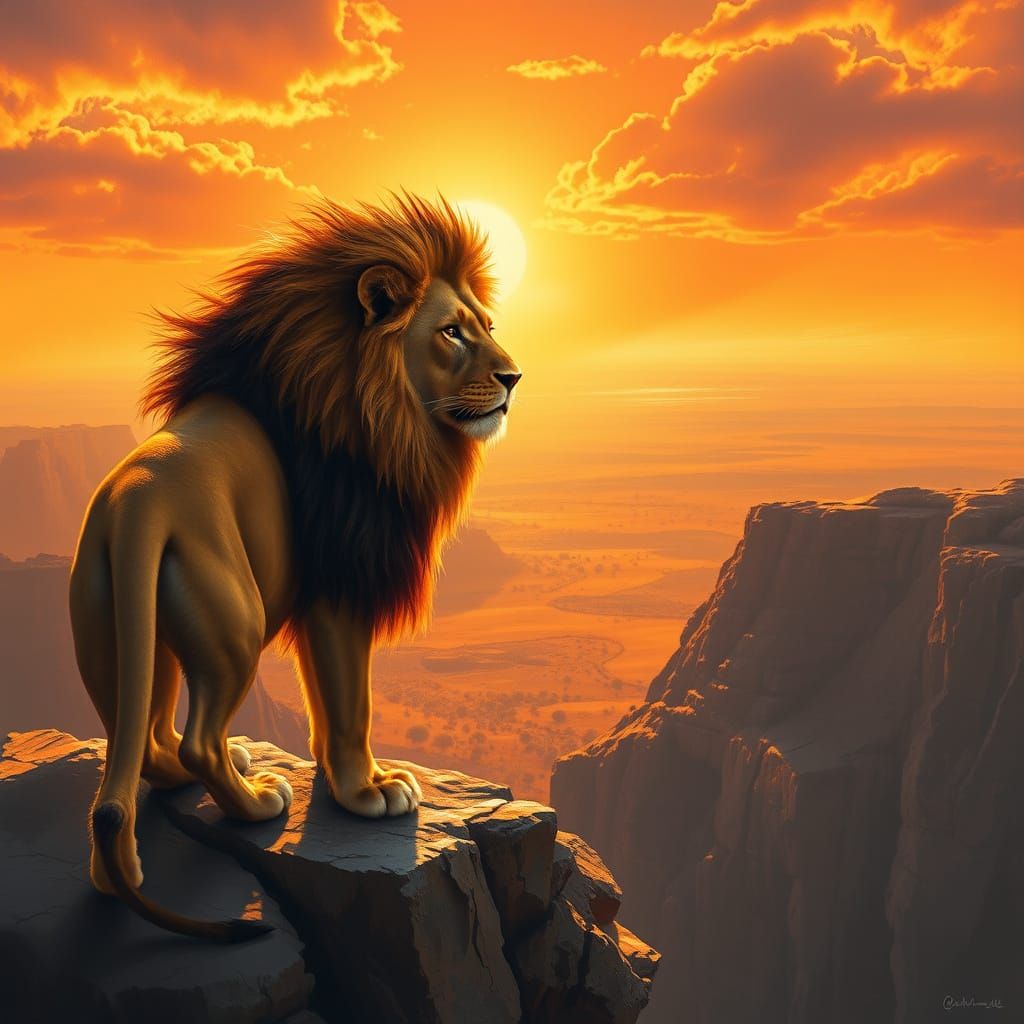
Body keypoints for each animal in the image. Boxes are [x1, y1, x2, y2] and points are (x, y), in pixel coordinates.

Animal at [69, 193, 522, 941]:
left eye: (486, 326)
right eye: (452, 333)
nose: (514, 378)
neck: (378, 411)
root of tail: (137, 502)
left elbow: (325, 697)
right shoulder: (342, 584)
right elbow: (349, 701)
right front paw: (368, 791)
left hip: (122, 627)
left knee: (139, 743)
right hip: (234, 621)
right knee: (195, 741)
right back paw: (256, 802)